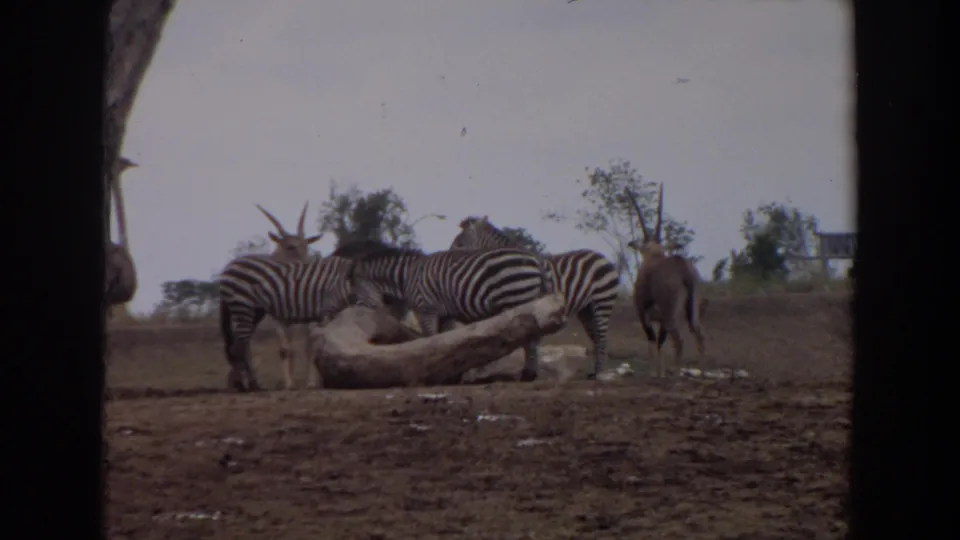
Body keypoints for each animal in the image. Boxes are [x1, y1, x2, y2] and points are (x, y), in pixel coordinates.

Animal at [217, 253, 354, 392]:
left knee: (238, 346)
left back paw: (245, 384)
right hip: (243, 305)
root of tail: (229, 266)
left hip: (255, 311)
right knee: (240, 346)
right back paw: (251, 385)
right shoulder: (325, 313)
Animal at [253, 202, 325, 390]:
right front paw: (289, 383)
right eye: (290, 246)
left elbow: (309, 346)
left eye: (306, 244)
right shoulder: (279, 319)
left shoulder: (308, 317)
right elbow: (285, 349)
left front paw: (311, 382)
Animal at [330, 240, 554, 382]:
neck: (408, 277)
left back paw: (527, 375)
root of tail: (536, 259)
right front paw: (450, 374)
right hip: (527, 299)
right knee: (534, 337)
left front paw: (432, 373)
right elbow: (447, 342)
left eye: (354, 292)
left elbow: (430, 339)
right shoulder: (445, 314)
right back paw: (529, 375)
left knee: (529, 339)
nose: (348, 310)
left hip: (515, 297)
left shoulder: (426, 309)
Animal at [449, 216, 621, 377]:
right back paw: (595, 371)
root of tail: (600, 255)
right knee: (596, 337)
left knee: (602, 337)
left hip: (602, 300)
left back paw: (599, 373)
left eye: (459, 244)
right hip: (586, 309)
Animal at [625, 183, 706, 377]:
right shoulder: (660, 321)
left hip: (671, 315)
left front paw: (654, 373)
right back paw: (701, 373)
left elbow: (652, 341)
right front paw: (660, 373)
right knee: (699, 335)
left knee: (680, 340)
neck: (654, 256)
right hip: (692, 312)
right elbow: (660, 343)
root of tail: (682, 267)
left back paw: (677, 374)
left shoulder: (644, 315)